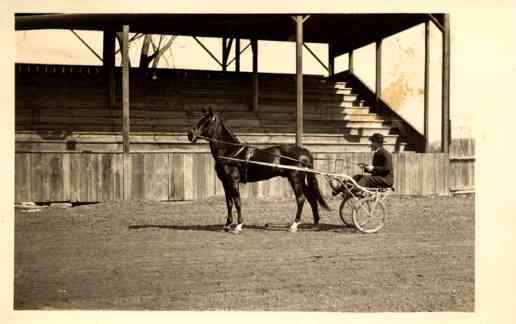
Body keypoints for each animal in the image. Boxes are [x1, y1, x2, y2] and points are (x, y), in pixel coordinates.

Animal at [186, 108, 330, 233]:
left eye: (205, 122)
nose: (190, 135)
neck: (230, 151)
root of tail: (305, 152)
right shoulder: (225, 183)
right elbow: (229, 203)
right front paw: (227, 225)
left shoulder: (233, 181)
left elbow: (237, 202)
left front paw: (238, 226)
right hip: (300, 180)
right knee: (311, 198)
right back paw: (315, 224)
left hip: (295, 179)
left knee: (301, 199)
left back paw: (294, 225)